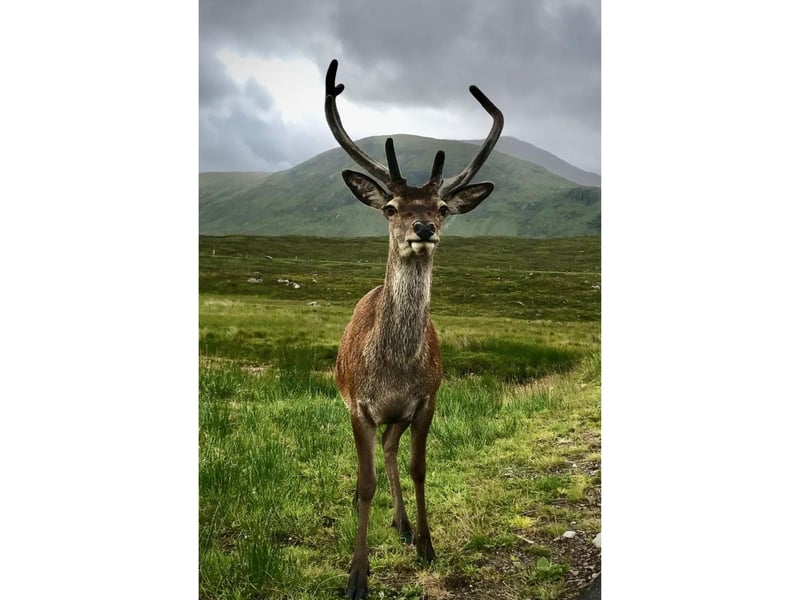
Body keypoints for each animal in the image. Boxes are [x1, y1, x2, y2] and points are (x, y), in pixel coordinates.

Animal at [324, 58, 503, 600]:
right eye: (390, 207)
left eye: (442, 208)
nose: (422, 228)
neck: (394, 368)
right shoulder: (359, 406)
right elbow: (364, 484)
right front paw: (357, 575)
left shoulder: (426, 400)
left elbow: (419, 468)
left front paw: (426, 544)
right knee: (377, 458)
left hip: (398, 418)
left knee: (391, 449)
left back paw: (402, 525)